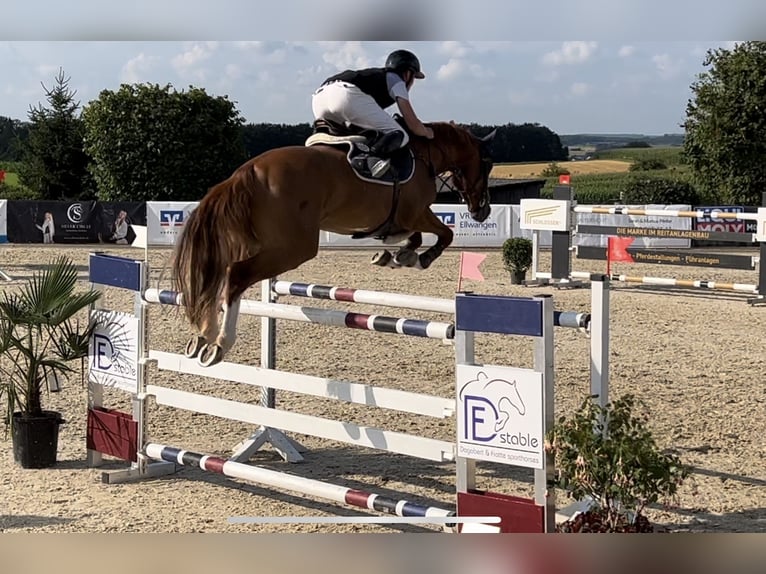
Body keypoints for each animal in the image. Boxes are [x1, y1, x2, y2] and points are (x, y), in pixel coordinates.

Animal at [171, 120, 498, 368]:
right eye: (487, 164)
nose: (482, 211)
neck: (425, 156)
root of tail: (245, 172)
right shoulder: (417, 212)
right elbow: (444, 235)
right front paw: (416, 258)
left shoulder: (407, 217)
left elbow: (411, 237)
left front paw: (392, 255)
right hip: (294, 248)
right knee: (235, 275)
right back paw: (220, 343)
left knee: (216, 277)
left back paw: (203, 335)